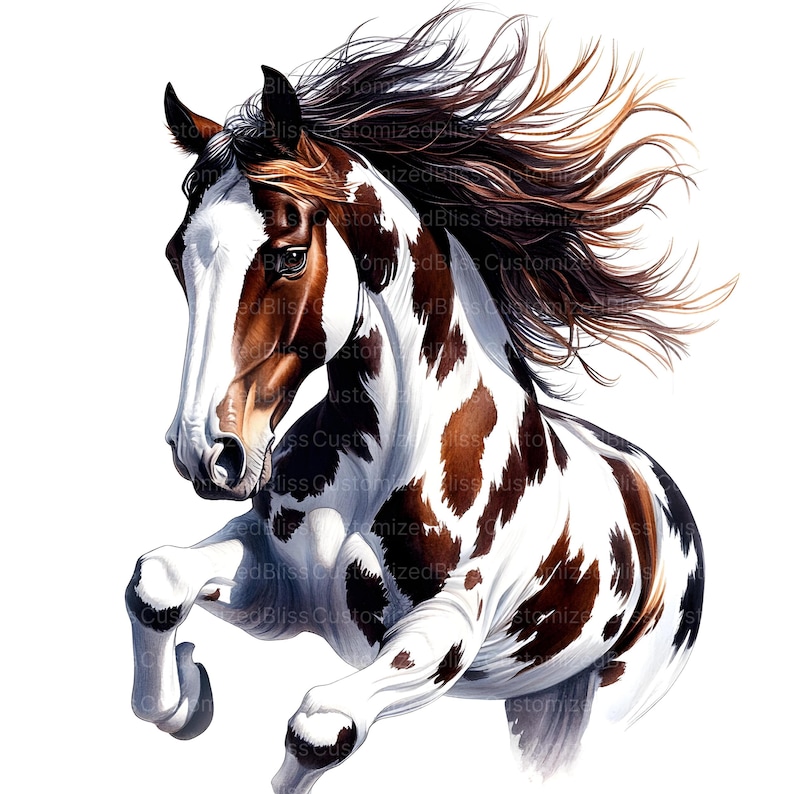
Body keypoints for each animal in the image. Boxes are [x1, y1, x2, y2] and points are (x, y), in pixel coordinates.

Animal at [126, 11, 722, 793]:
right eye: (177, 254)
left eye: (289, 255)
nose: (207, 453)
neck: (387, 456)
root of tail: (663, 494)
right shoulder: (279, 588)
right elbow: (156, 580)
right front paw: (186, 700)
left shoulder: (444, 639)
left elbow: (320, 727)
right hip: (539, 710)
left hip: (604, 709)